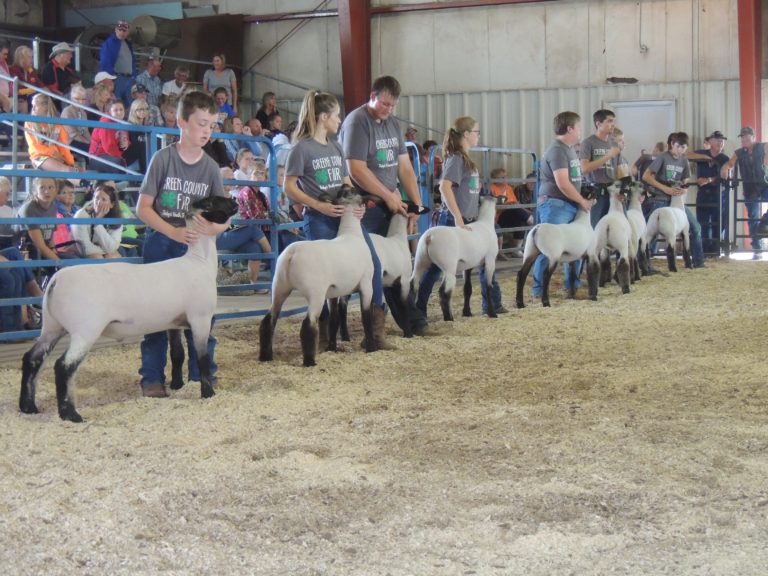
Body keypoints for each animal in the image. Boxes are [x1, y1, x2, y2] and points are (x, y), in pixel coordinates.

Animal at [21, 196, 237, 420]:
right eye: (212, 203)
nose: (235, 201)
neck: (199, 261)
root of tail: (56, 279)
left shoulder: (174, 322)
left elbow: (177, 354)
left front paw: (177, 385)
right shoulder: (200, 318)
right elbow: (203, 358)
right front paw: (208, 393)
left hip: (52, 326)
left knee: (32, 358)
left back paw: (28, 406)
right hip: (85, 330)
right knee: (63, 366)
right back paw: (70, 414)